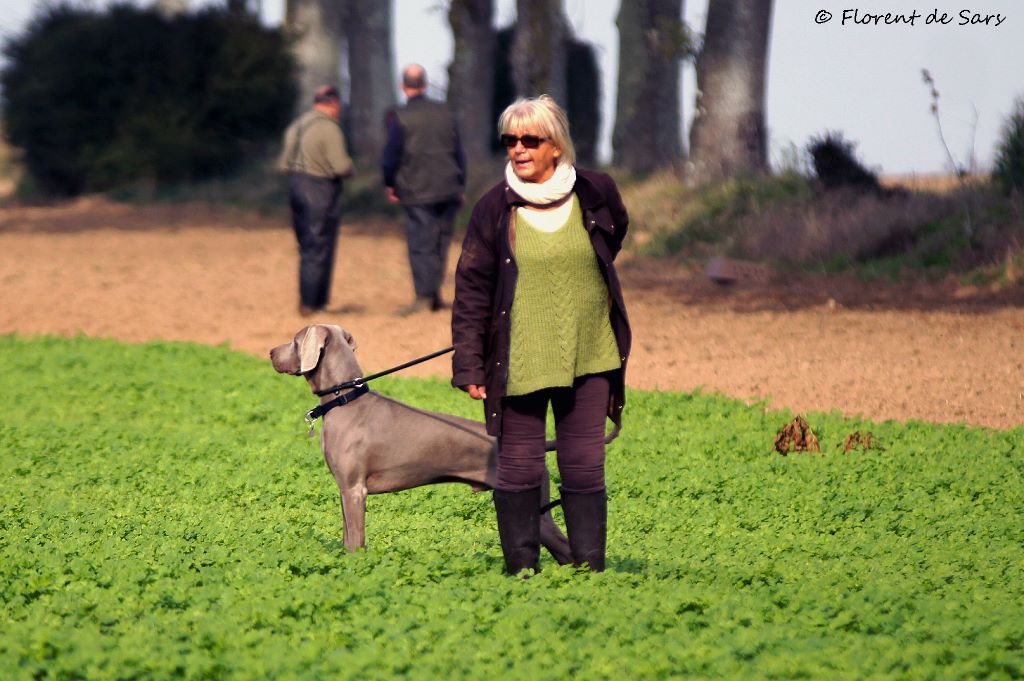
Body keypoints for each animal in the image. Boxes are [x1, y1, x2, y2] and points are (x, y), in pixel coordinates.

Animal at [268, 323, 573, 561]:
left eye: (295, 341)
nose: (270, 352)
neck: (345, 399)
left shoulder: (354, 489)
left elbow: (355, 541)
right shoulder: (345, 490)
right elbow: (347, 538)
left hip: (537, 509)